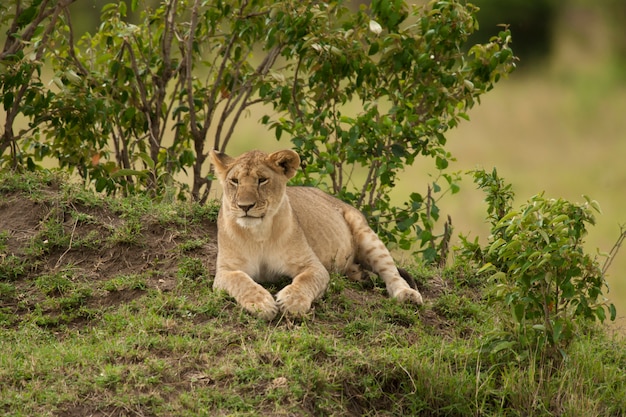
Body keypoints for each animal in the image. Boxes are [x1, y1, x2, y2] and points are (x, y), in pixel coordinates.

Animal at [208, 150, 420, 318]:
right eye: (234, 181)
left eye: (262, 180)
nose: (245, 206)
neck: (258, 233)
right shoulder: (226, 271)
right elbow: (240, 280)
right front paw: (261, 304)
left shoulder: (313, 265)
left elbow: (305, 280)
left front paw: (292, 302)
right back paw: (359, 274)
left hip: (367, 235)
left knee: (391, 273)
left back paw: (407, 295)